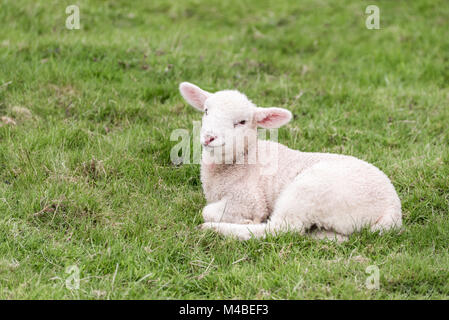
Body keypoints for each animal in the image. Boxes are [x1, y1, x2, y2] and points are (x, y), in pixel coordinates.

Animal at [177, 81, 400, 241]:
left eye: (241, 122)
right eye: (206, 111)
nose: (209, 137)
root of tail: (392, 210)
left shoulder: (249, 200)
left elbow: (208, 211)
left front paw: (243, 220)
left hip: (309, 192)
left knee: (281, 229)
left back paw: (214, 229)